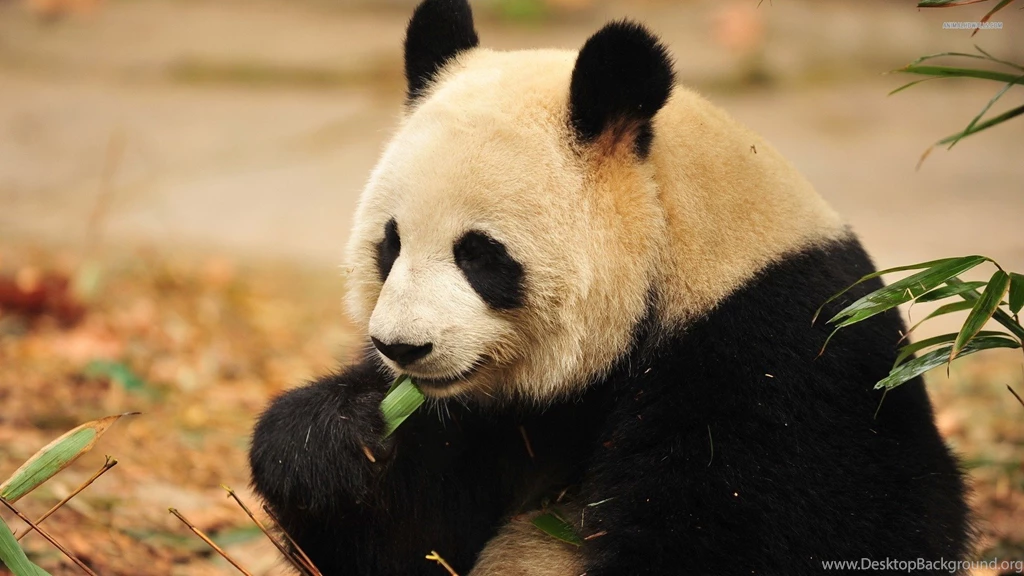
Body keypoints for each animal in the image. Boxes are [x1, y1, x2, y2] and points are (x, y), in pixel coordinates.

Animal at [249, 1, 973, 574]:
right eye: (390, 244)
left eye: (481, 255)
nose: (402, 348)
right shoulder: (501, 420)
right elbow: (418, 539)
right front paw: (336, 441)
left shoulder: (778, 362)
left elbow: (751, 532)